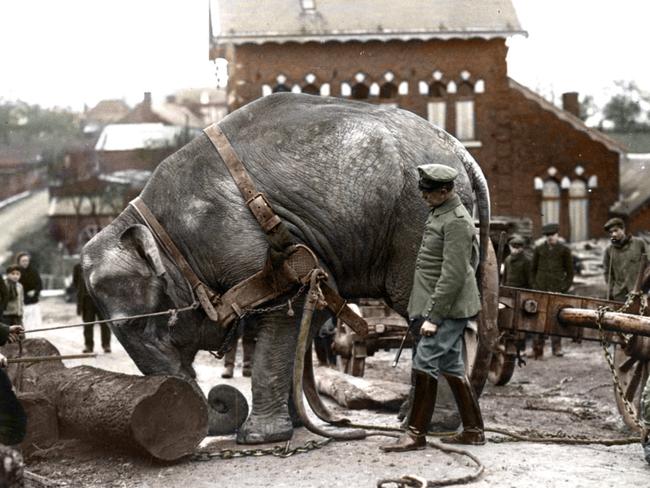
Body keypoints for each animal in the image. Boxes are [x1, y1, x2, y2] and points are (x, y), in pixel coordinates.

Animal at [82, 92, 486, 446]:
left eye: (135, 325)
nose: (218, 399)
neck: (154, 225)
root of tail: (462, 154)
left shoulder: (242, 242)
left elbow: (285, 308)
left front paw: (257, 438)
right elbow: (309, 312)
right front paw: (297, 425)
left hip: (417, 224)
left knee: (426, 315)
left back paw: (432, 425)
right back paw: (409, 418)